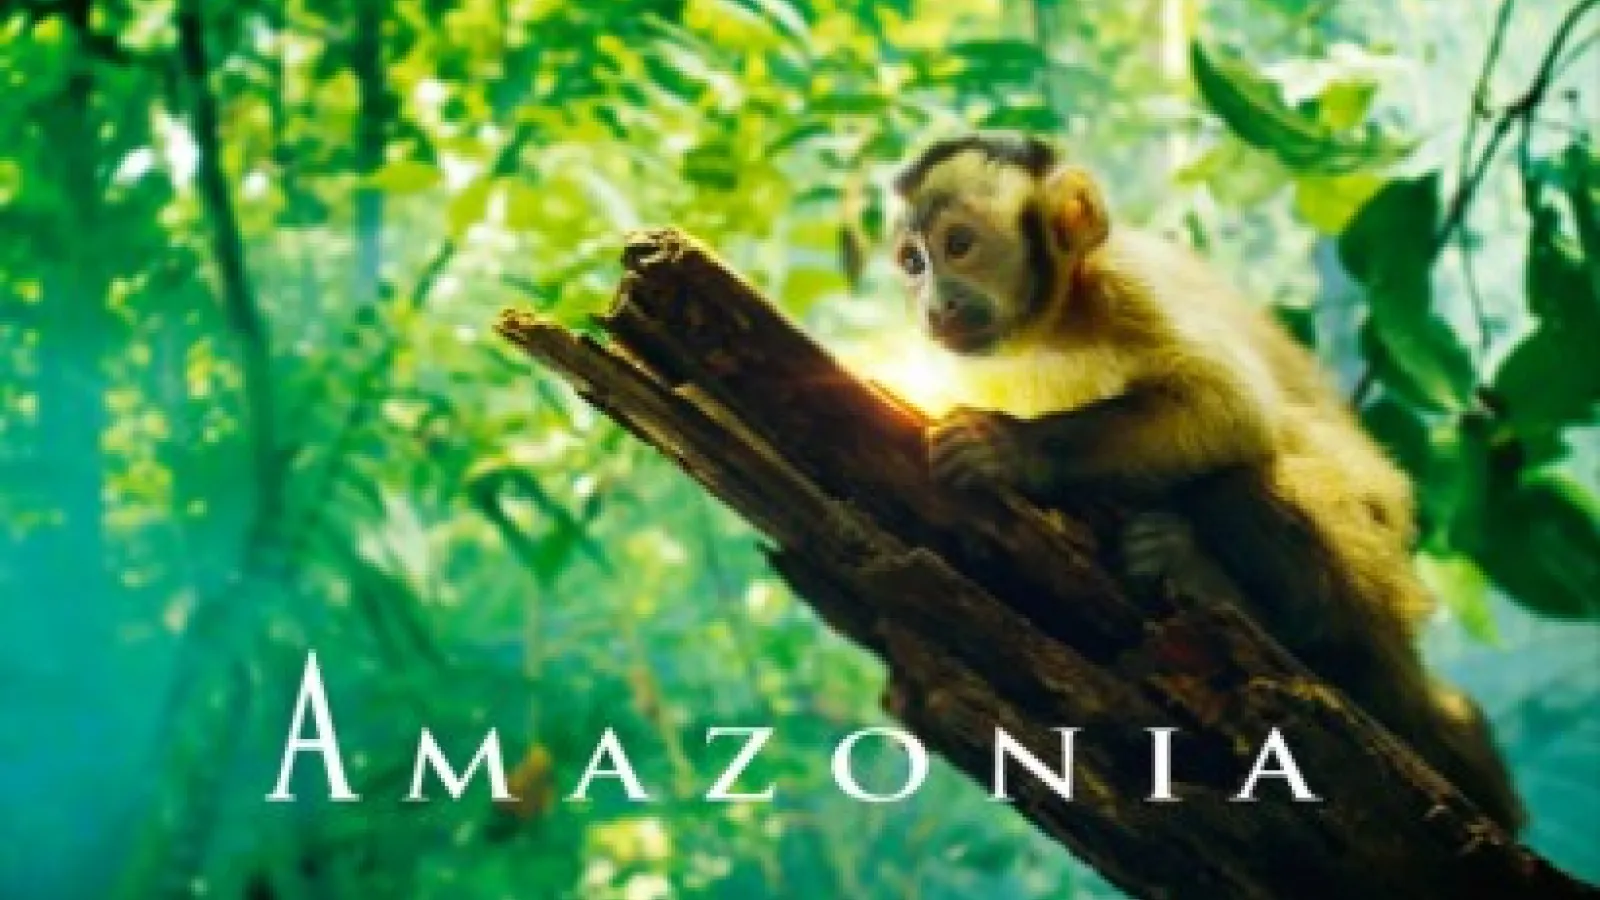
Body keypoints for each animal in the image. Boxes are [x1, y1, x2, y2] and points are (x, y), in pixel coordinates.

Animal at [886, 133, 1526, 832]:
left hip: (1377, 554)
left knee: (1239, 480)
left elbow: (1228, 408)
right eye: (913, 262)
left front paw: (1012, 449)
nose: (933, 306)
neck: (1057, 325)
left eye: (959, 245)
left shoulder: (1128, 285)